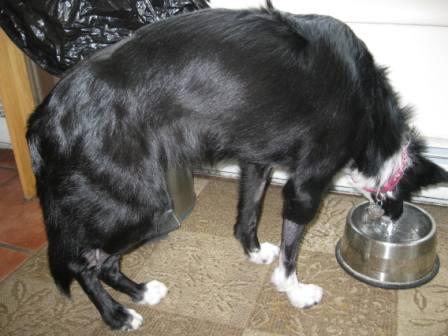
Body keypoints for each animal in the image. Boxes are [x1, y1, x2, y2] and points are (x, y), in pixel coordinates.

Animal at [27, 3, 448, 330]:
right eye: (407, 191)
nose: (395, 215)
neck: (369, 108)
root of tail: (46, 115)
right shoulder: (305, 188)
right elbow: (291, 252)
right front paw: (295, 291)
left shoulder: (256, 163)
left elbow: (248, 214)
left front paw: (255, 252)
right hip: (142, 206)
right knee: (84, 261)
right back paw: (117, 316)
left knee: (106, 262)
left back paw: (142, 293)